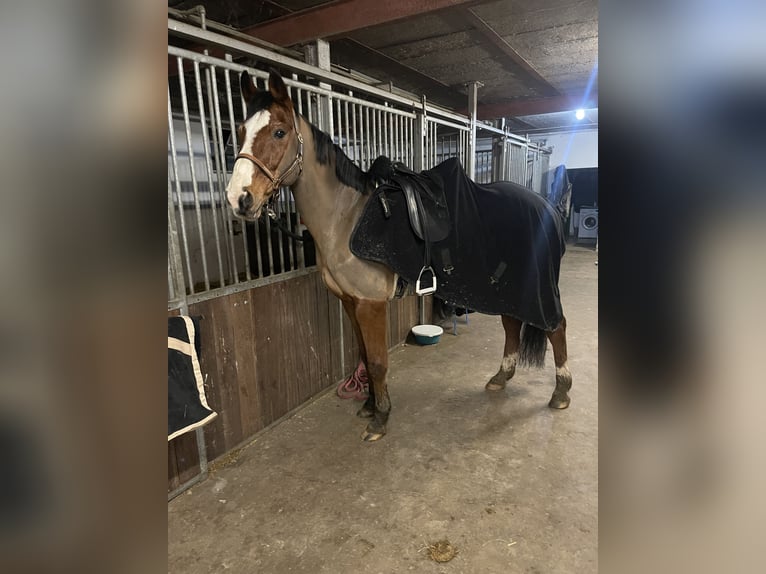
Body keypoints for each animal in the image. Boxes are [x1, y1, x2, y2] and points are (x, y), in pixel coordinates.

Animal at [225, 70, 572, 444]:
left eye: (279, 131)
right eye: (241, 132)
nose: (239, 199)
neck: (345, 217)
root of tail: (547, 207)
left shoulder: (370, 304)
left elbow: (377, 362)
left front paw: (380, 419)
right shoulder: (350, 302)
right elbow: (364, 356)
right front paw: (369, 405)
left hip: (535, 288)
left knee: (556, 327)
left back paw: (561, 392)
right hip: (505, 285)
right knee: (512, 324)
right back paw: (500, 377)